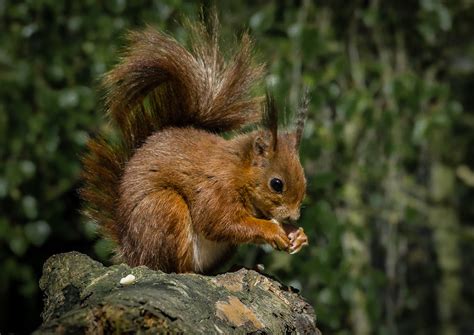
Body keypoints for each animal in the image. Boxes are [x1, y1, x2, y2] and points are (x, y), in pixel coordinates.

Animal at [79, 18, 310, 274]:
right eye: (276, 184)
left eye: (305, 180)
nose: (293, 217)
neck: (238, 170)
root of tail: (131, 252)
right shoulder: (214, 189)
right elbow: (219, 223)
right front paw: (273, 230)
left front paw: (298, 235)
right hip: (164, 208)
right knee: (172, 264)